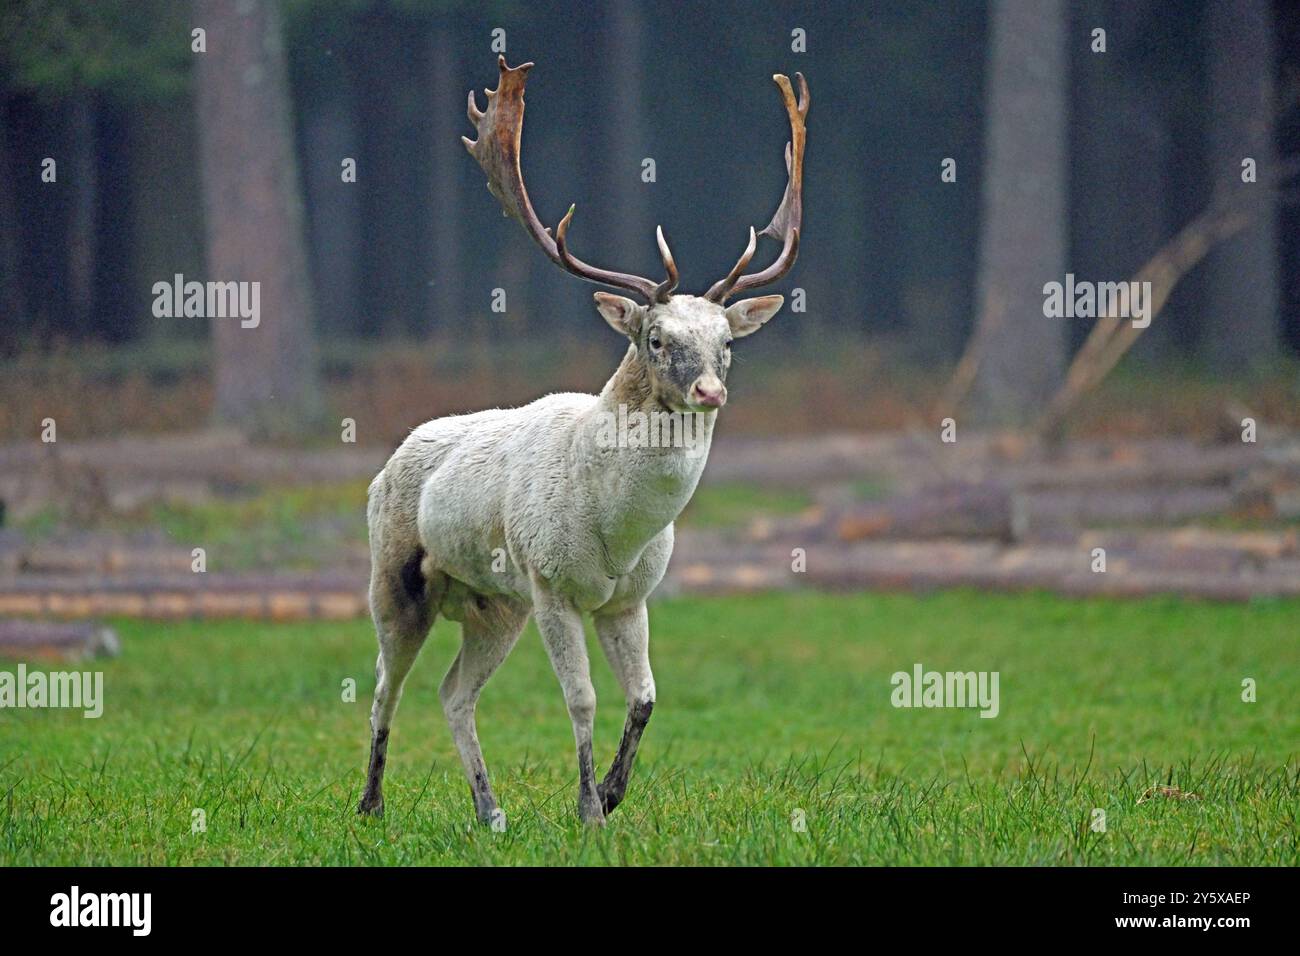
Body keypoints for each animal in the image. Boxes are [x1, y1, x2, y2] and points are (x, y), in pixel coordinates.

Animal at [358, 56, 808, 827]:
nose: (709, 392)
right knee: (385, 687)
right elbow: (582, 699)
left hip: (494, 605)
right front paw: (589, 809)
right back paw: (371, 804)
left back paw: (491, 811)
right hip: (397, 575)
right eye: (656, 338)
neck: (615, 530)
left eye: (727, 342)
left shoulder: (630, 598)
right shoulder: (553, 585)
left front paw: (614, 793)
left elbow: (646, 696)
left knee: (453, 692)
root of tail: (386, 463)